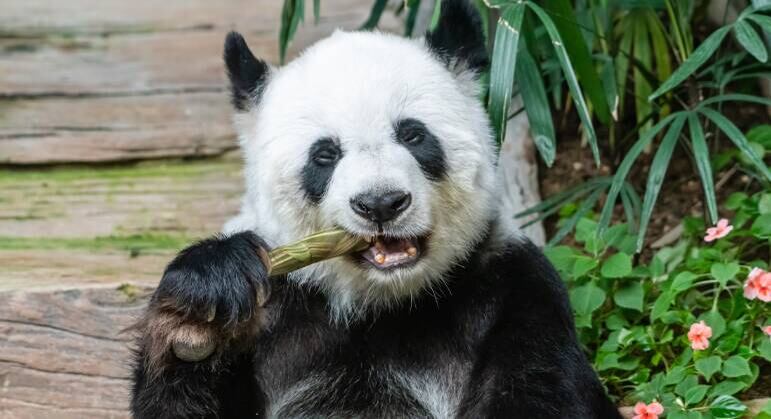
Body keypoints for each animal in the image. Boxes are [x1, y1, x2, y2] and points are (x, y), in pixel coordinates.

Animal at [130, 1, 622, 418]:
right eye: (324, 155)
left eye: (413, 135)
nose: (381, 203)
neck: (378, 304)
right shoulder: (281, 309)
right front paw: (200, 313)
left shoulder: (513, 289)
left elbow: (542, 393)